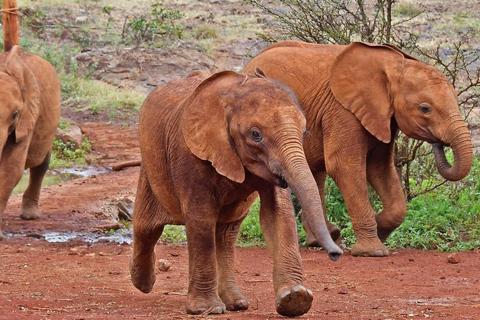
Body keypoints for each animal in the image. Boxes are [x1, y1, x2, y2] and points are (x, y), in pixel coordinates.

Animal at [129, 69, 344, 316]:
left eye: (303, 131)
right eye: (255, 134)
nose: (336, 254)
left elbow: (278, 214)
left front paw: (296, 299)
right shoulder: (189, 152)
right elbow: (201, 217)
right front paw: (207, 309)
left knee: (226, 234)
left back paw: (237, 303)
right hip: (150, 168)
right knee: (147, 228)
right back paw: (143, 283)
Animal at [244, 40, 472, 258]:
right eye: (425, 109)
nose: (438, 143)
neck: (394, 67)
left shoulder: (382, 117)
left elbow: (379, 169)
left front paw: (380, 229)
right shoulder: (342, 110)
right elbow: (343, 167)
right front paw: (373, 251)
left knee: (314, 170)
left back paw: (324, 238)